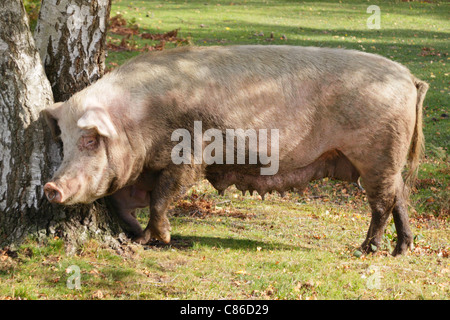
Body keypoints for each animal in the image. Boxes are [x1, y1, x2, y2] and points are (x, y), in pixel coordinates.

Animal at [43, 44, 428, 255]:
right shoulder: (140, 170)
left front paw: (156, 238)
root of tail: (410, 78)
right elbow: (121, 201)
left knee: (382, 203)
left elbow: (163, 196)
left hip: (377, 153)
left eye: (90, 140)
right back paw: (401, 250)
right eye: (62, 140)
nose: (50, 187)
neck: (139, 120)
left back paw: (366, 249)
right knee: (400, 196)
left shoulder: (189, 154)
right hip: (384, 160)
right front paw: (137, 236)